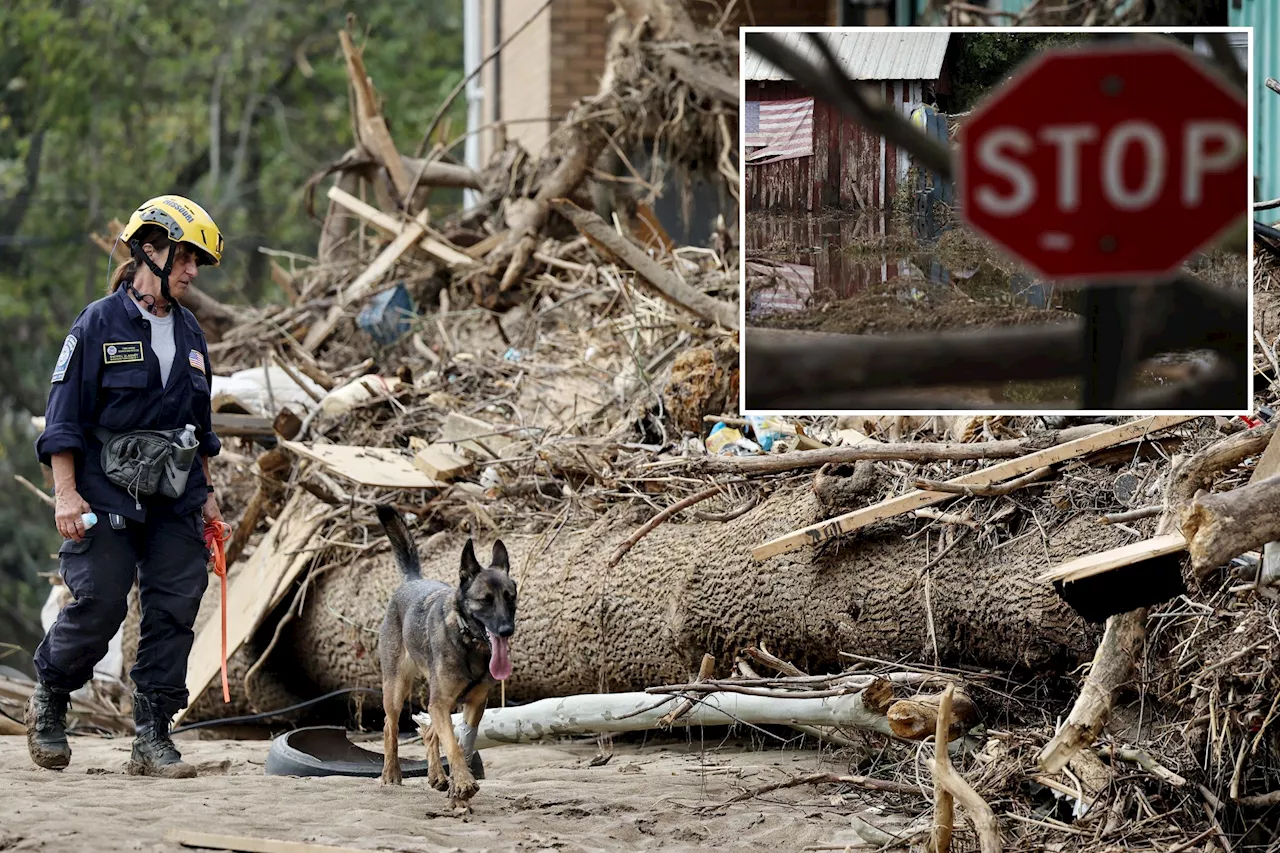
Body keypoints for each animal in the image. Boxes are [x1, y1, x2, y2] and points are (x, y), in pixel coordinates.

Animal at [373, 502, 519, 809]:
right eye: (485, 600)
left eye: (510, 597)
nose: (506, 630)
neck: (468, 642)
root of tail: (413, 580)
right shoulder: (439, 703)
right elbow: (452, 744)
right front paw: (462, 784)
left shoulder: (473, 704)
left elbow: (462, 743)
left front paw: (457, 784)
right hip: (396, 687)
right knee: (390, 726)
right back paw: (391, 773)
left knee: (429, 732)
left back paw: (437, 777)